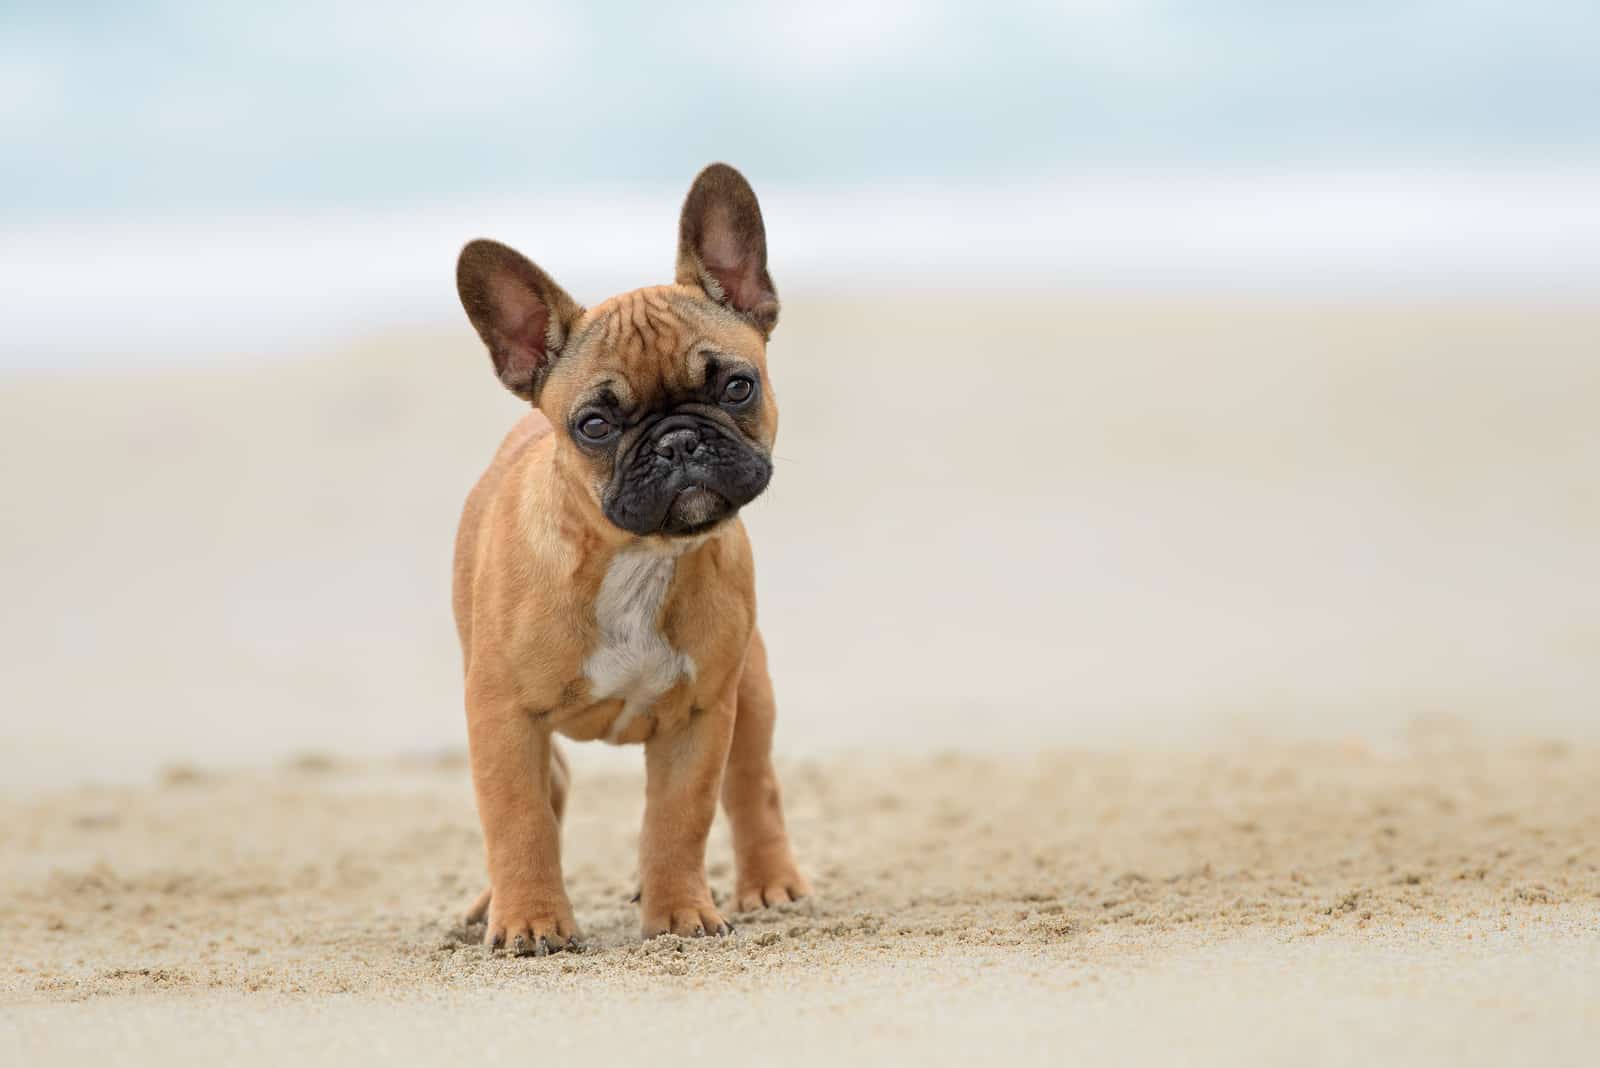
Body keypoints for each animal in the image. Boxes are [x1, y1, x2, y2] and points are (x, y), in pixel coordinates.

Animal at [451, 164, 812, 952]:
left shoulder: (701, 717)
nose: (679, 440)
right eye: (594, 424)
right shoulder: (502, 717)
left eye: (737, 386)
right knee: (546, 794)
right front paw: (530, 919)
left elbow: (678, 821)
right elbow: (518, 819)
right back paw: (490, 903)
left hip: (751, 690)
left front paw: (678, 913)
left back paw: (769, 884)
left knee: (753, 788)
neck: (637, 561)